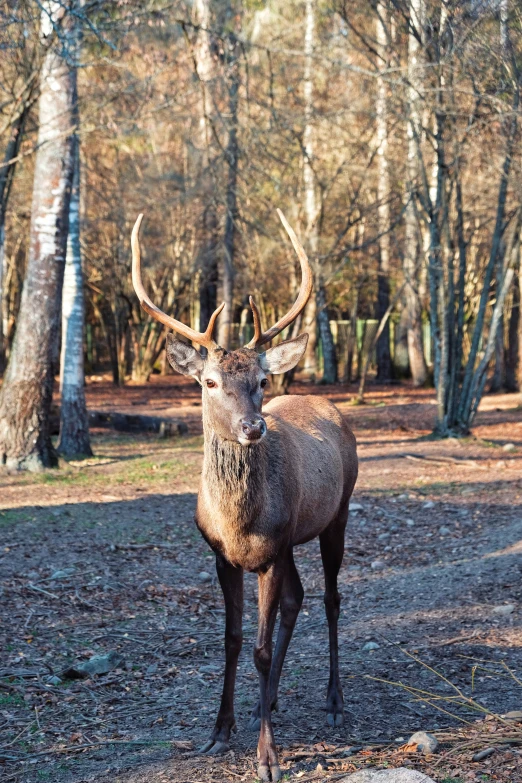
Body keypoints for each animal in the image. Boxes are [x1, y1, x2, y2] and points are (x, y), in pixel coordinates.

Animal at [131, 210, 358, 783]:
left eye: (260, 379)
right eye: (209, 381)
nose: (253, 427)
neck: (238, 524)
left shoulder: (270, 553)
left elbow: (258, 646)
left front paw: (267, 757)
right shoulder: (223, 556)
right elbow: (233, 639)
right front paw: (219, 731)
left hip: (338, 514)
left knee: (330, 598)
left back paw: (334, 702)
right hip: (292, 539)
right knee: (298, 599)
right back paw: (268, 700)